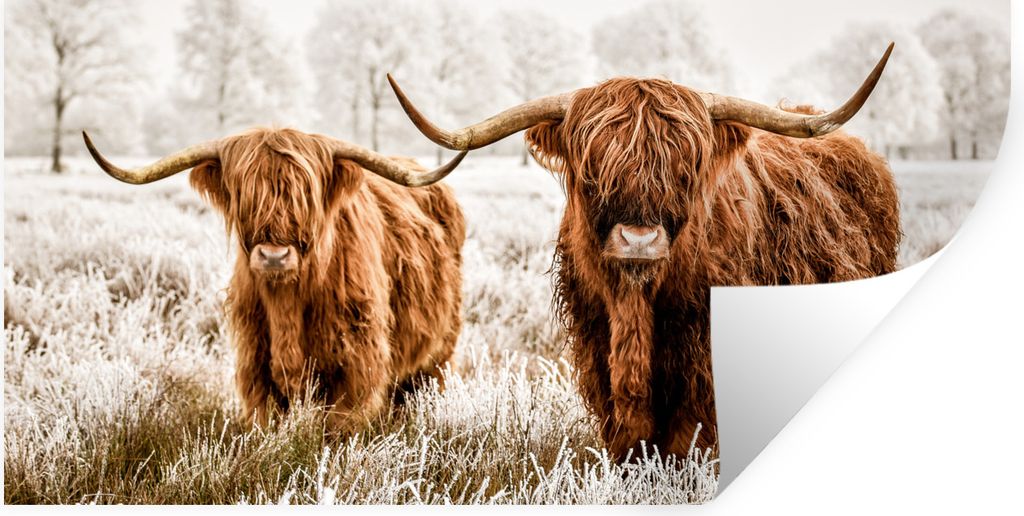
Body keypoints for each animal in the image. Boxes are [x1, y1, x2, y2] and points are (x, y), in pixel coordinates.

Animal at [83, 128, 468, 434]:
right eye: (245, 195)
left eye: (305, 196)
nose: (273, 256)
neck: (288, 304)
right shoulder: (255, 366)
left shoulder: (358, 365)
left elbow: (340, 427)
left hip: (438, 354)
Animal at [385, 44, 901, 460]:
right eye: (592, 171)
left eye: (685, 169)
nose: (638, 240)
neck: (636, 305)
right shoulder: (596, 339)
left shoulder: (701, 351)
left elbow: (690, 431)